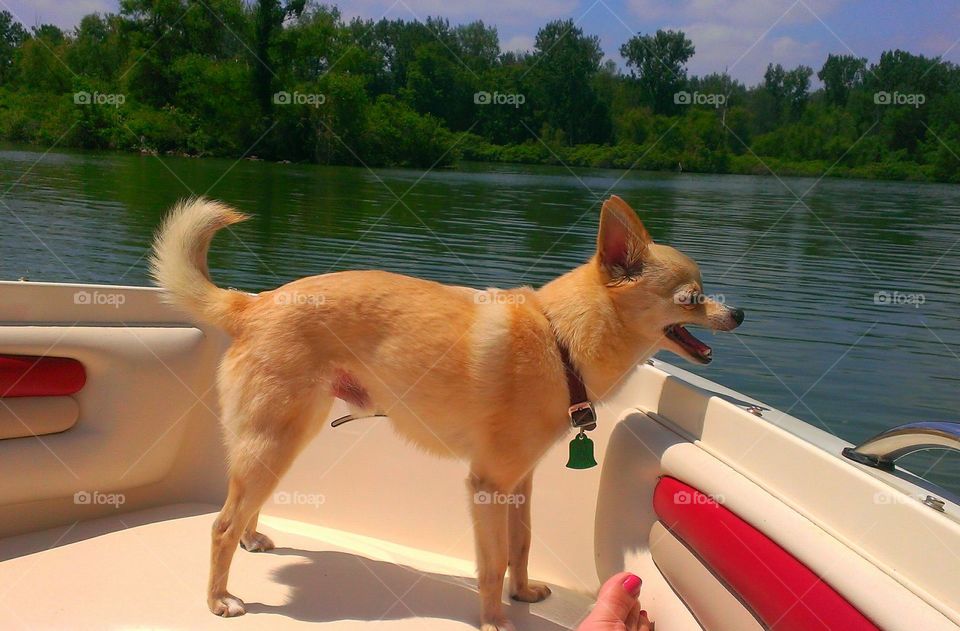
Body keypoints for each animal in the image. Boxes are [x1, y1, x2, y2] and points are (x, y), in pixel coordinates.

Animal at [152, 195, 744, 628]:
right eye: (692, 298)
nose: (738, 312)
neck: (559, 341)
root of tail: (251, 304)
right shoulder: (487, 486)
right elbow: (491, 562)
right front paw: (495, 621)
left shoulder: (520, 482)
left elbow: (521, 545)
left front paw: (522, 594)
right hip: (275, 440)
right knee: (221, 524)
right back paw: (218, 599)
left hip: (283, 441)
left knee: (244, 510)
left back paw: (252, 541)